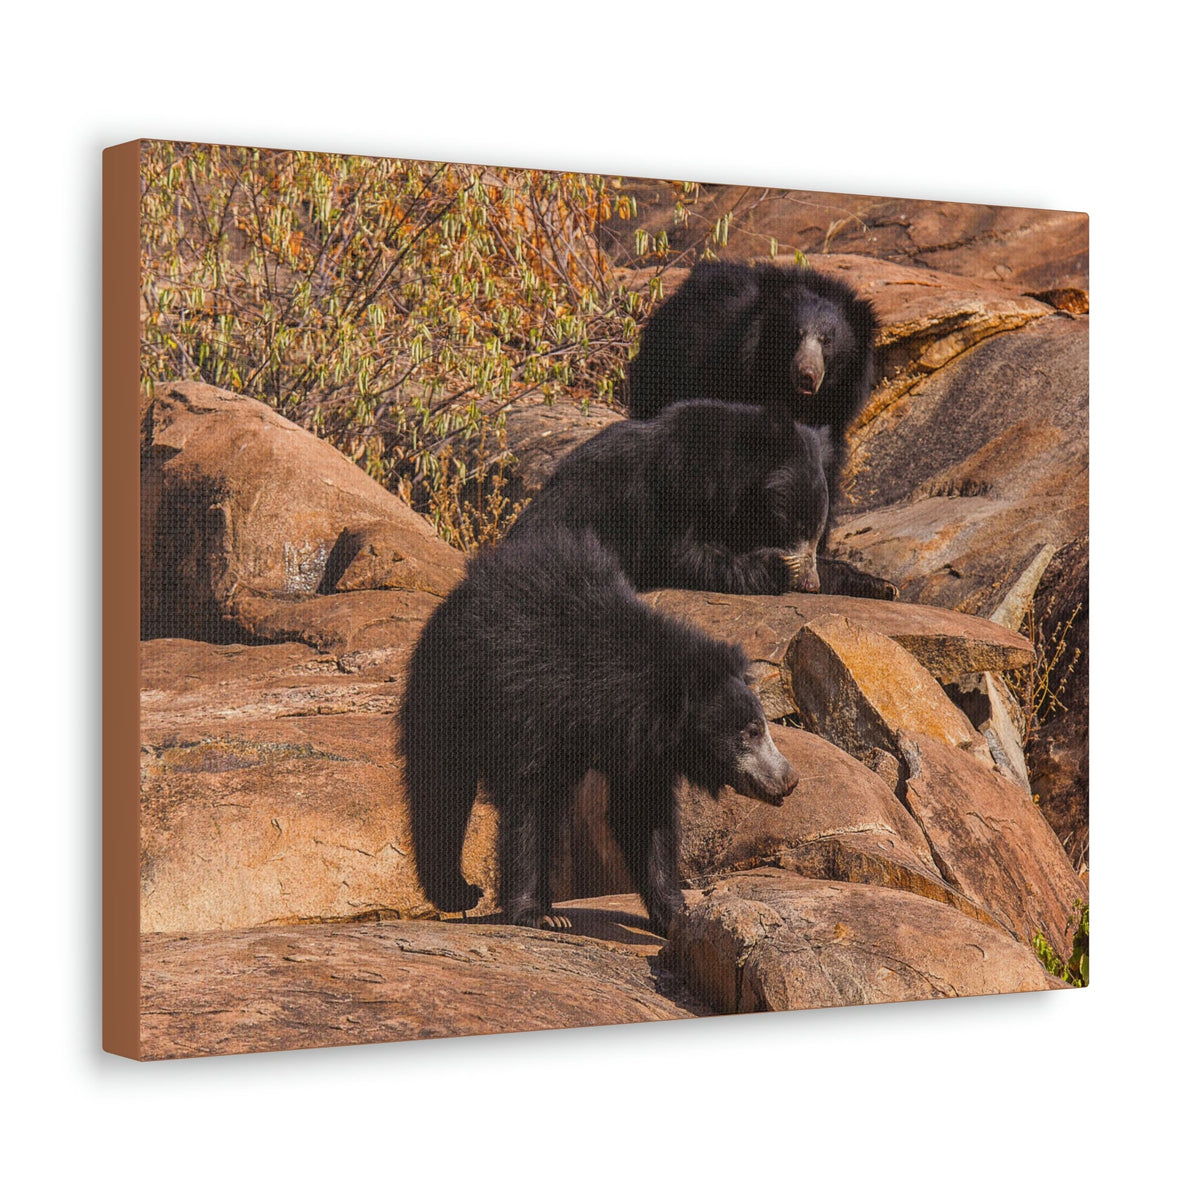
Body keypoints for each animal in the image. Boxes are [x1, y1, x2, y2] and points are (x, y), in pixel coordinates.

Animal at [399, 528, 798, 935]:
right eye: (750, 732)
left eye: (761, 727)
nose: (788, 780)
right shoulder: (532, 706)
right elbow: (531, 802)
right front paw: (539, 914)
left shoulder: (644, 748)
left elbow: (643, 815)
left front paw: (675, 913)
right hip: (451, 689)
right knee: (441, 785)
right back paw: (458, 892)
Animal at [507, 399, 832, 595]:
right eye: (798, 528)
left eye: (818, 535)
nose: (812, 584)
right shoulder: (674, 486)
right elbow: (676, 553)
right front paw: (780, 567)